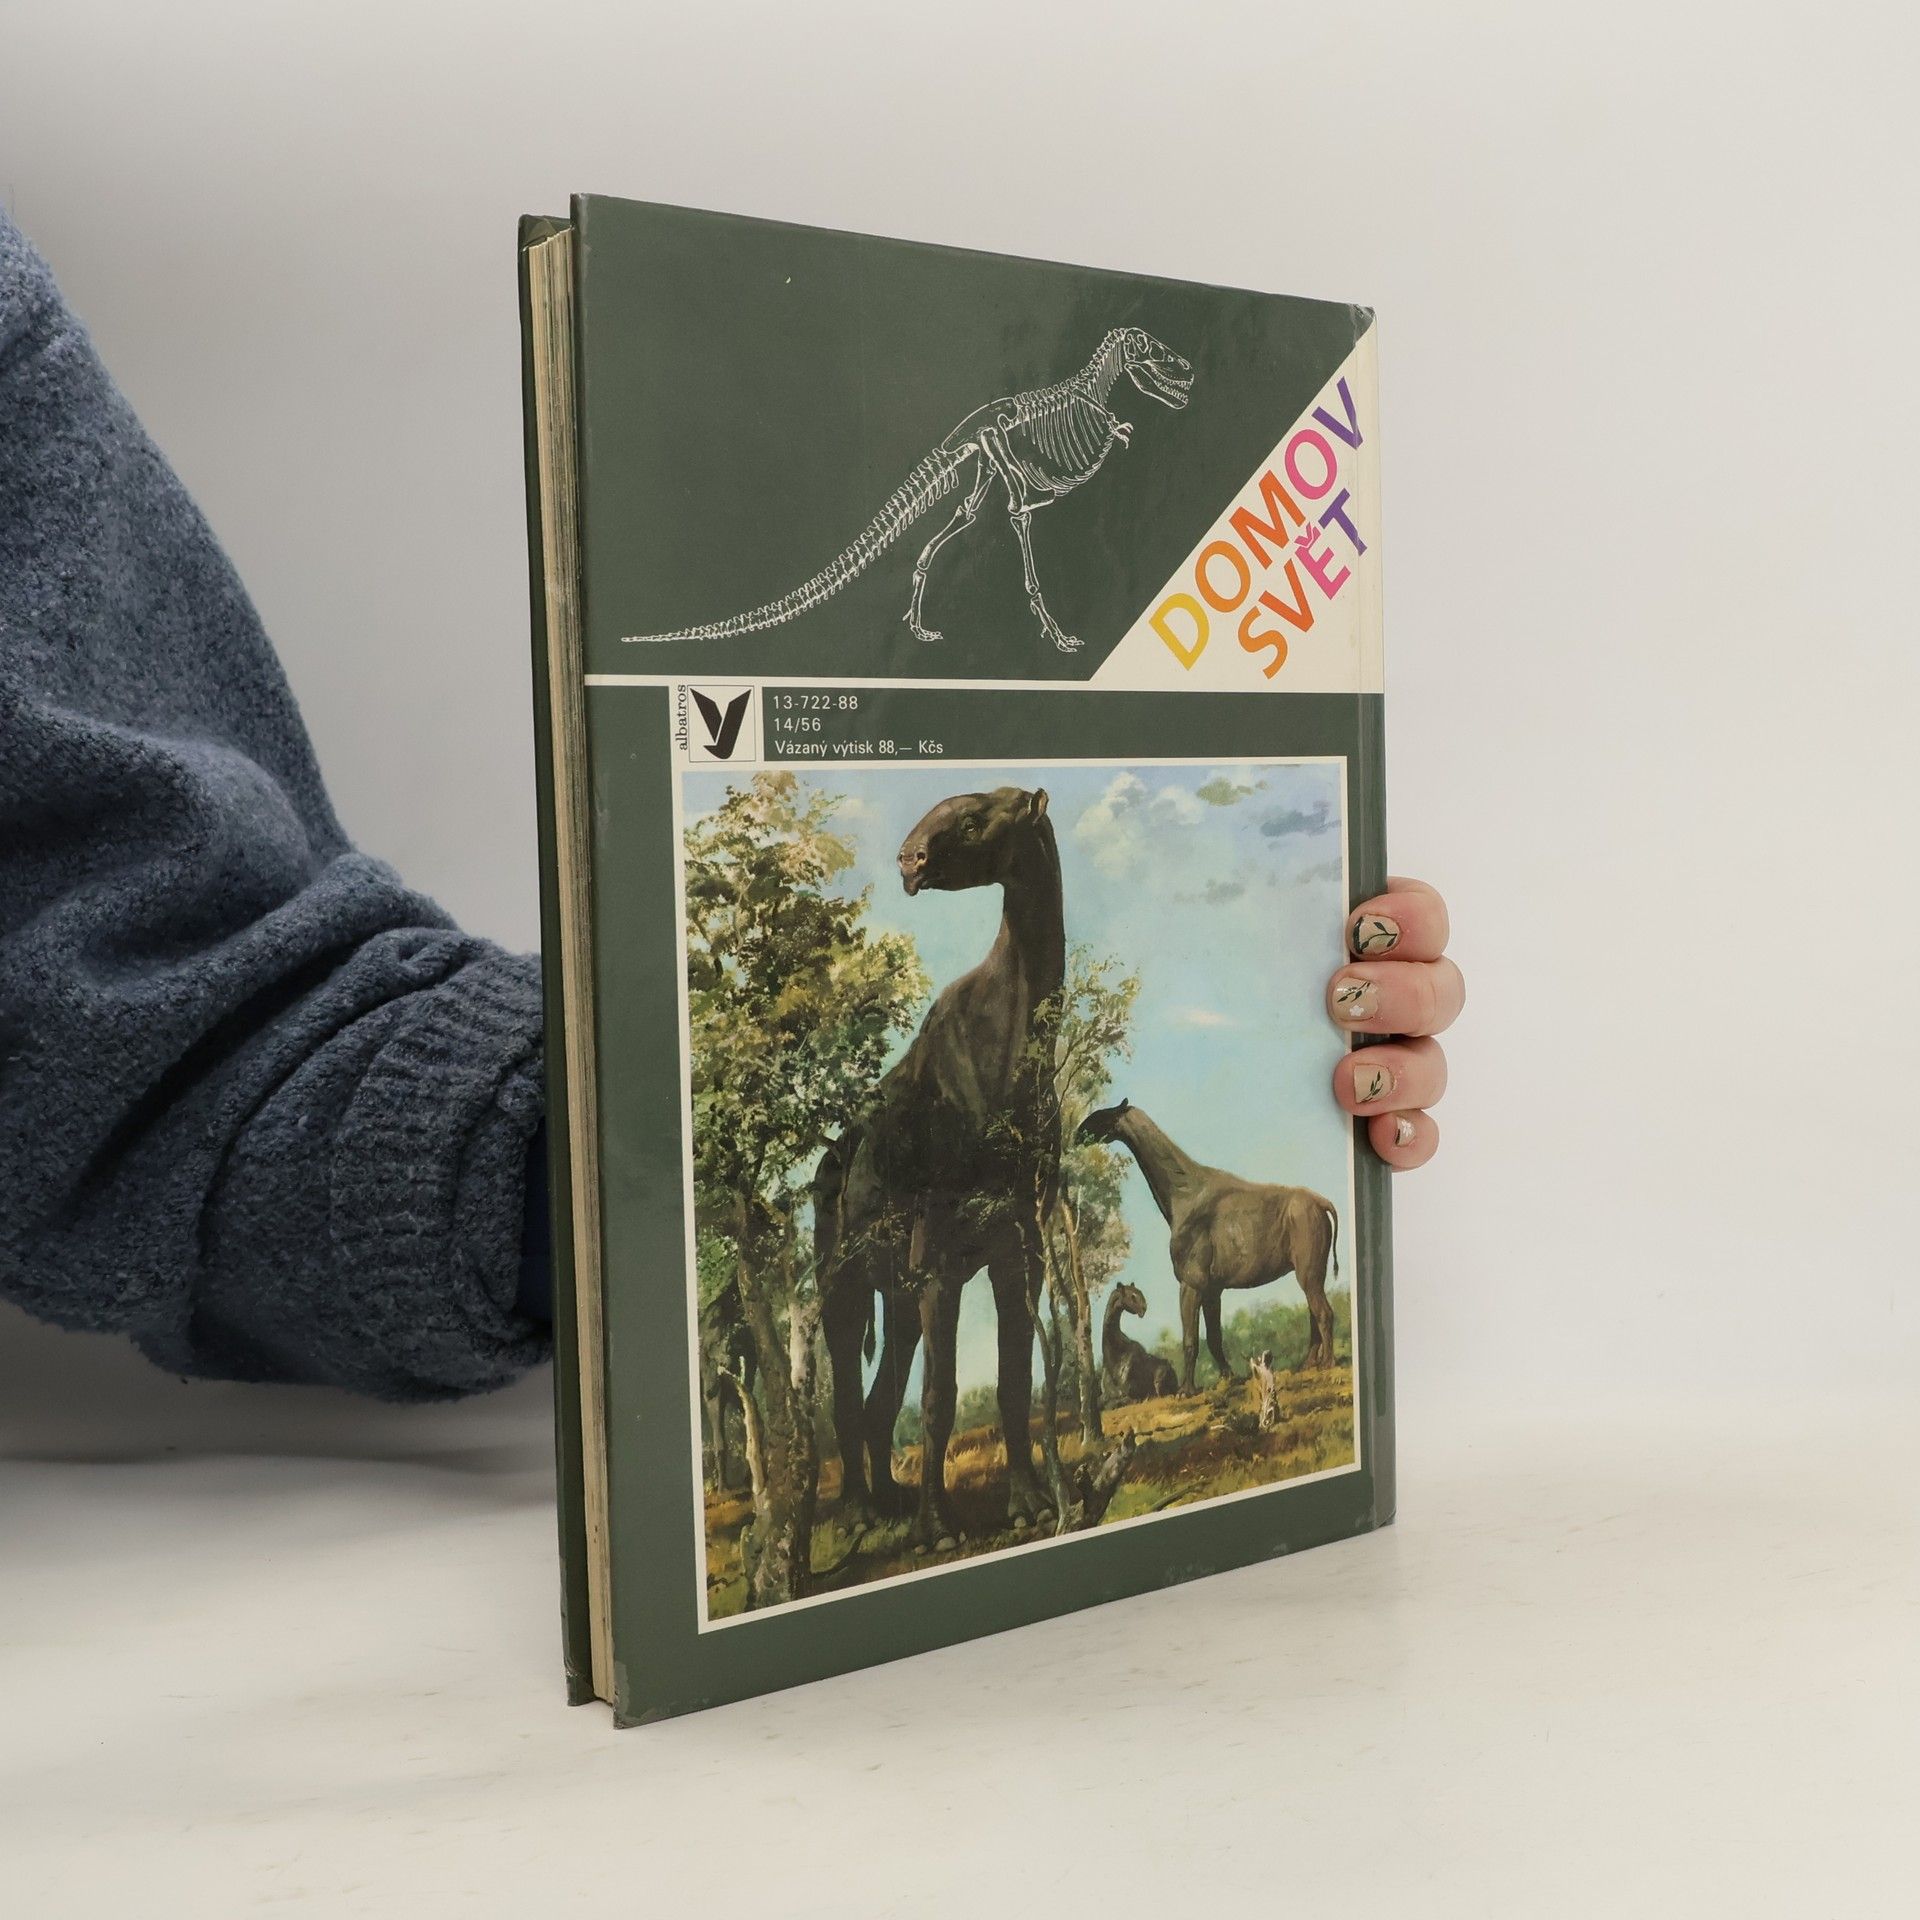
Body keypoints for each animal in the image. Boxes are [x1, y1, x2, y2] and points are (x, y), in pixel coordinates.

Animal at [814, 785, 1064, 1546]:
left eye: (978, 818)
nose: (909, 859)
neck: (1010, 1046)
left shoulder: (1021, 1246)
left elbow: (1012, 1383)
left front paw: (1029, 1503)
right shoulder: (940, 1254)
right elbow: (938, 1396)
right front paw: (938, 1529)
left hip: (892, 1294)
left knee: (874, 1402)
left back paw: (889, 1499)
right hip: (843, 1284)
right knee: (847, 1396)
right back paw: (865, 1511)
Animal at [1076, 1100, 1341, 1391]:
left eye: (1104, 1115)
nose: (1077, 1134)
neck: (1185, 1193)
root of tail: (1321, 1202)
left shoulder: (1190, 1285)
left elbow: (1190, 1340)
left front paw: (1185, 1390)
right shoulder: (1213, 1290)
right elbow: (1214, 1338)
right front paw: (1229, 1376)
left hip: (1308, 1273)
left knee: (1324, 1314)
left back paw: (1327, 1363)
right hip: (1312, 1274)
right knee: (1314, 1315)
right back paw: (1309, 1363)